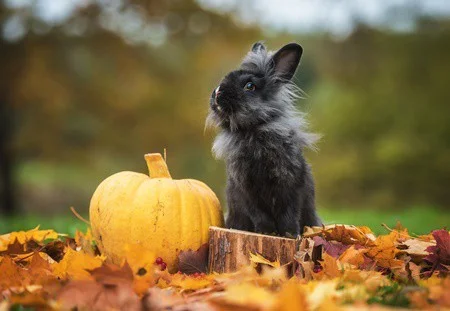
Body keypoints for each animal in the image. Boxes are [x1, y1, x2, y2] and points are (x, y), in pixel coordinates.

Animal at [206, 42, 322, 236]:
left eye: (250, 86)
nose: (218, 92)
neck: (252, 130)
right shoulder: (247, 189)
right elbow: (258, 213)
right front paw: (266, 232)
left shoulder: (290, 184)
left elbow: (289, 211)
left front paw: (290, 234)